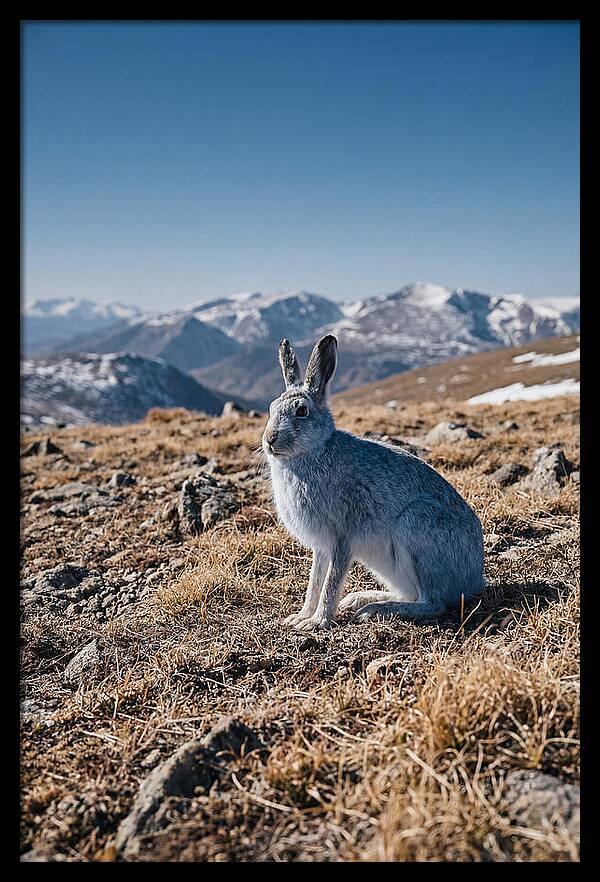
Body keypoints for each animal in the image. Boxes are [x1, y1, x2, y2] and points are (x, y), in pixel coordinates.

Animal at [262, 334, 486, 630]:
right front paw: (300, 617)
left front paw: (318, 622)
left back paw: (376, 609)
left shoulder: (342, 537)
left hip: (417, 529)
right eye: (271, 408)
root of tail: (474, 580)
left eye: (301, 411)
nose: (270, 440)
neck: (312, 452)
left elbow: (330, 582)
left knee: (432, 602)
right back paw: (361, 598)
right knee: (412, 594)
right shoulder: (322, 547)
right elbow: (314, 581)